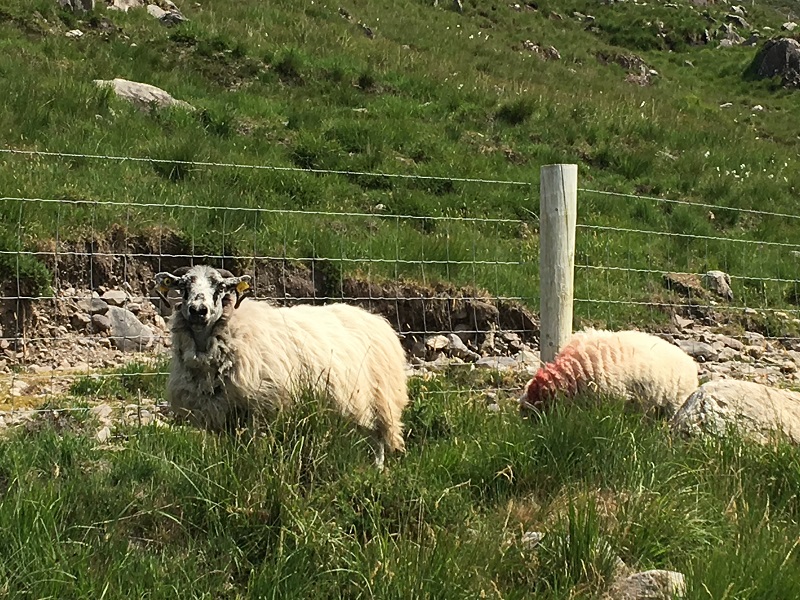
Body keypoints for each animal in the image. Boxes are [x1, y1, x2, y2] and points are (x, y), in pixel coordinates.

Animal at [154, 266, 410, 468]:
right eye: (183, 286)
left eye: (220, 287)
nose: (198, 310)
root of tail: (375, 318)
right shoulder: (222, 413)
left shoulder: (261, 409)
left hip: (382, 399)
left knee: (378, 441)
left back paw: (376, 471)